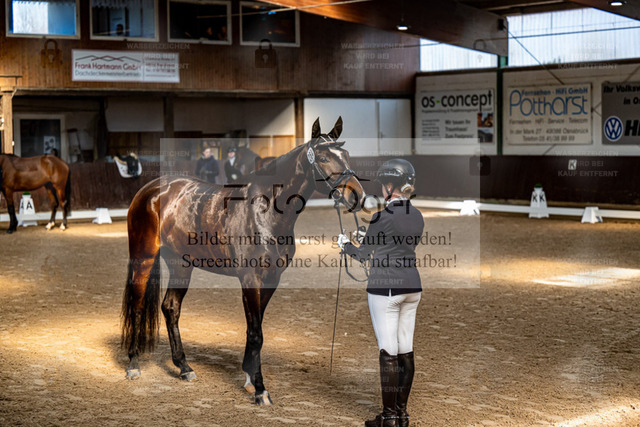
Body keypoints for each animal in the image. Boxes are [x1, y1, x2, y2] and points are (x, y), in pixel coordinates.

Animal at [121, 117, 365, 405]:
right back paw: (134, 364)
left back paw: (184, 367)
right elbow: (256, 332)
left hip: (181, 264)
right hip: (144, 257)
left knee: (171, 308)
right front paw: (260, 389)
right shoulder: (250, 278)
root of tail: (150, 190)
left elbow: (255, 329)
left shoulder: (271, 280)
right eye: (325, 157)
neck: (266, 211)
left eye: (346, 154)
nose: (357, 196)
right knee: (137, 305)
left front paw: (249, 378)